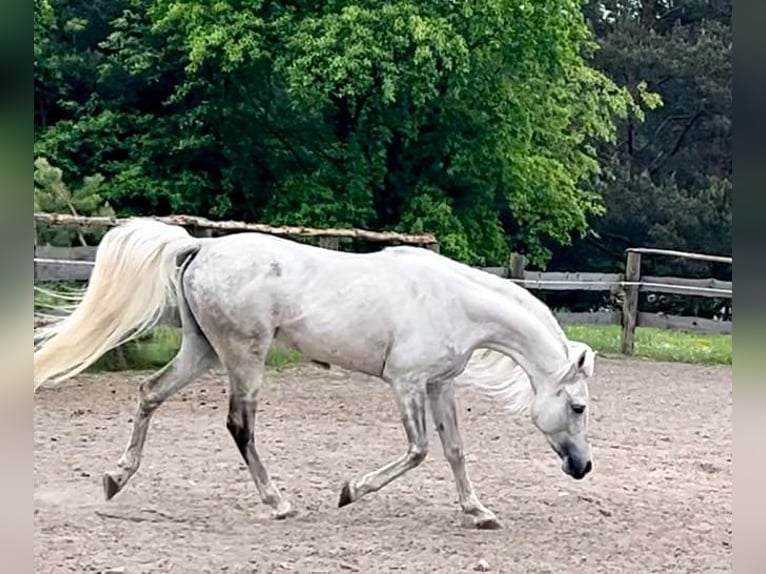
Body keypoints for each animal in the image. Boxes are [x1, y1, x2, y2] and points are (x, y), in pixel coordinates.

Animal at [34, 219, 600, 532]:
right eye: (578, 406)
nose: (582, 467)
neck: (454, 301)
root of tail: (201, 247)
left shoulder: (440, 384)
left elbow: (455, 451)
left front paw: (479, 513)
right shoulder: (407, 383)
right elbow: (418, 451)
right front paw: (351, 491)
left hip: (202, 352)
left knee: (149, 393)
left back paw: (115, 478)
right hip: (244, 358)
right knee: (240, 426)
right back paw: (279, 503)